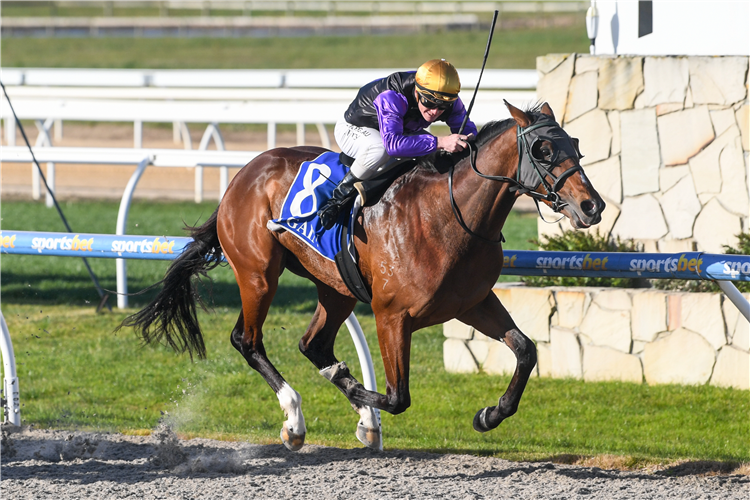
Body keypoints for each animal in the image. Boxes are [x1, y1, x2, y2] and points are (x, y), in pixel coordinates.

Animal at [122, 100, 604, 450]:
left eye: (576, 144)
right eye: (543, 150)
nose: (592, 206)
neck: (450, 215)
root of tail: (243, 174)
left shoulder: (472, 302)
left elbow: (526, 350)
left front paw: (489, 414)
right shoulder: (393, 316)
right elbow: (397, 396)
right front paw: (355, 393)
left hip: (336, 287)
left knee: (313, 343)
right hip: (258, 274)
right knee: (248, 340)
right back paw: (295, 420)